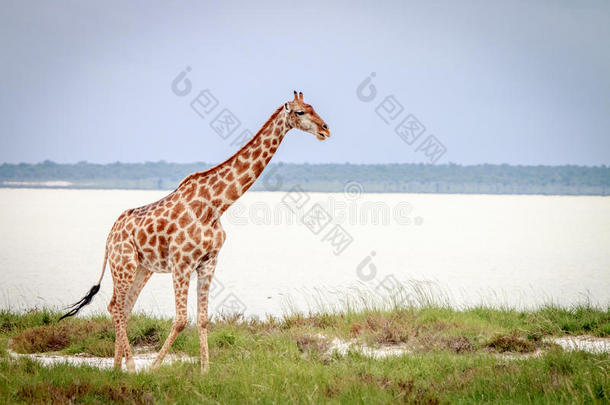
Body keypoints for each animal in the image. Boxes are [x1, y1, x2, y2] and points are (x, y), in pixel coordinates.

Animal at [59, 90, 330, 370]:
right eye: (300, 112)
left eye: (313, 108)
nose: (325, 130)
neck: (216, 205)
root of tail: (110, 235)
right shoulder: (181, 263)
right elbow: (181, 320)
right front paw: (153, 369)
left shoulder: (208, 262)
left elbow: (203, 318)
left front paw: (205, 371)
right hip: (123, 264)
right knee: (115, 306)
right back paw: (132, 368)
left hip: (143, 268)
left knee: (123, 307)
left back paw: (117, 368)